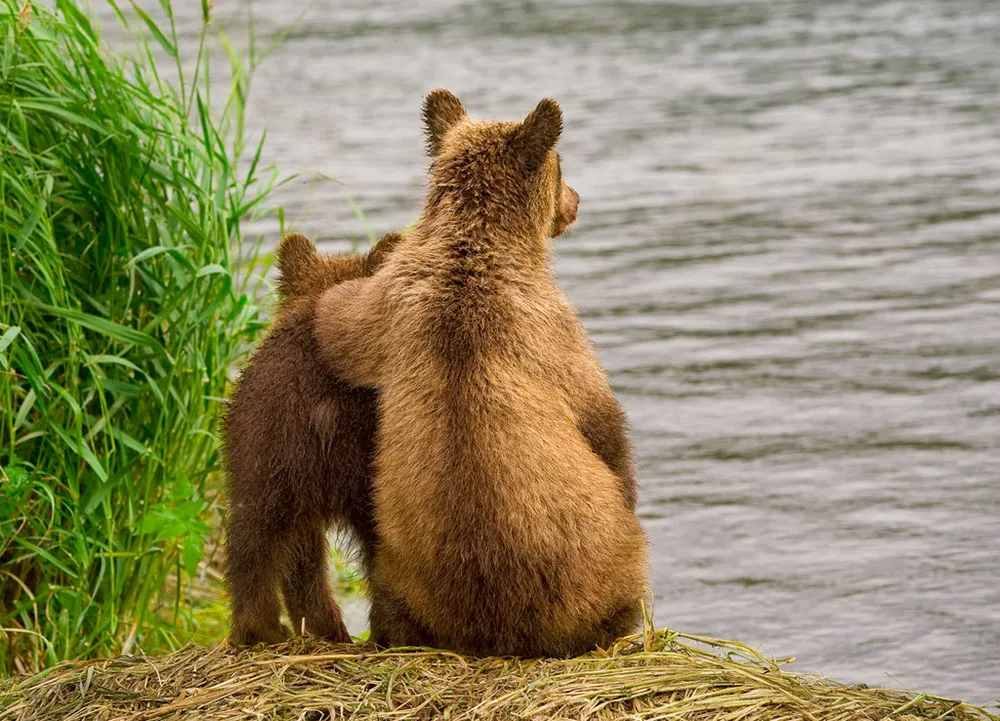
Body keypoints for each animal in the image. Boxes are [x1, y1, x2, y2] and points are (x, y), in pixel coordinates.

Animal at [308, 91, 648, 660]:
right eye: (562, 164)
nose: (577, 200)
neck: (475, 241)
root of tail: (498, 629)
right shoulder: (555, 330)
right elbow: (603, 423)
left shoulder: (384, 304)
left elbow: (335, 321)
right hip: (599, 572)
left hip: (400, 568)